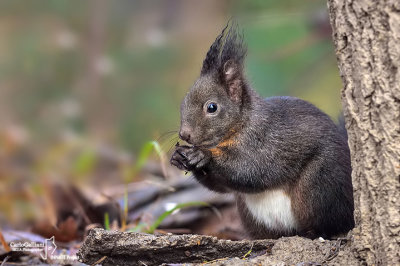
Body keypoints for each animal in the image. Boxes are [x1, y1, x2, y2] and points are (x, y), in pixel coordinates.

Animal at [170, 22, 354, 239]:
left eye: (212, 107)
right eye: (184, 101)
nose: (184, 135)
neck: (240, 124)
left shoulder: (264, 140)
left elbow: (251, 168)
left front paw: (202, 155)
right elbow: (222, 186)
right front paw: (178, 157)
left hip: (320, 186)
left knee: (331, 222)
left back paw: (313, 232)